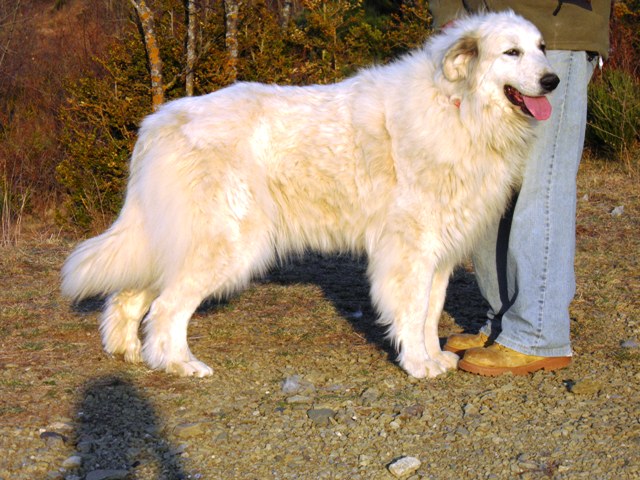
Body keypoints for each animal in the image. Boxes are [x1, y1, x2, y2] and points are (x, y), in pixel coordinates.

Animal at [61, 11, 560, 378]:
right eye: (511, 52)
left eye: (541, 48)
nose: (553, 81)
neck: (459, 107)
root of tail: (159, 121)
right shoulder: (411, 250)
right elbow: (413, 309)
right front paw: (418, 364)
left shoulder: (439, 251)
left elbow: (431, 310)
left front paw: (435, 358)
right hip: (225, 244)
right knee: (167, 309)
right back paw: (180, 364)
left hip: (173, 239)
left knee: (130, 296)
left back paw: (128, 352)